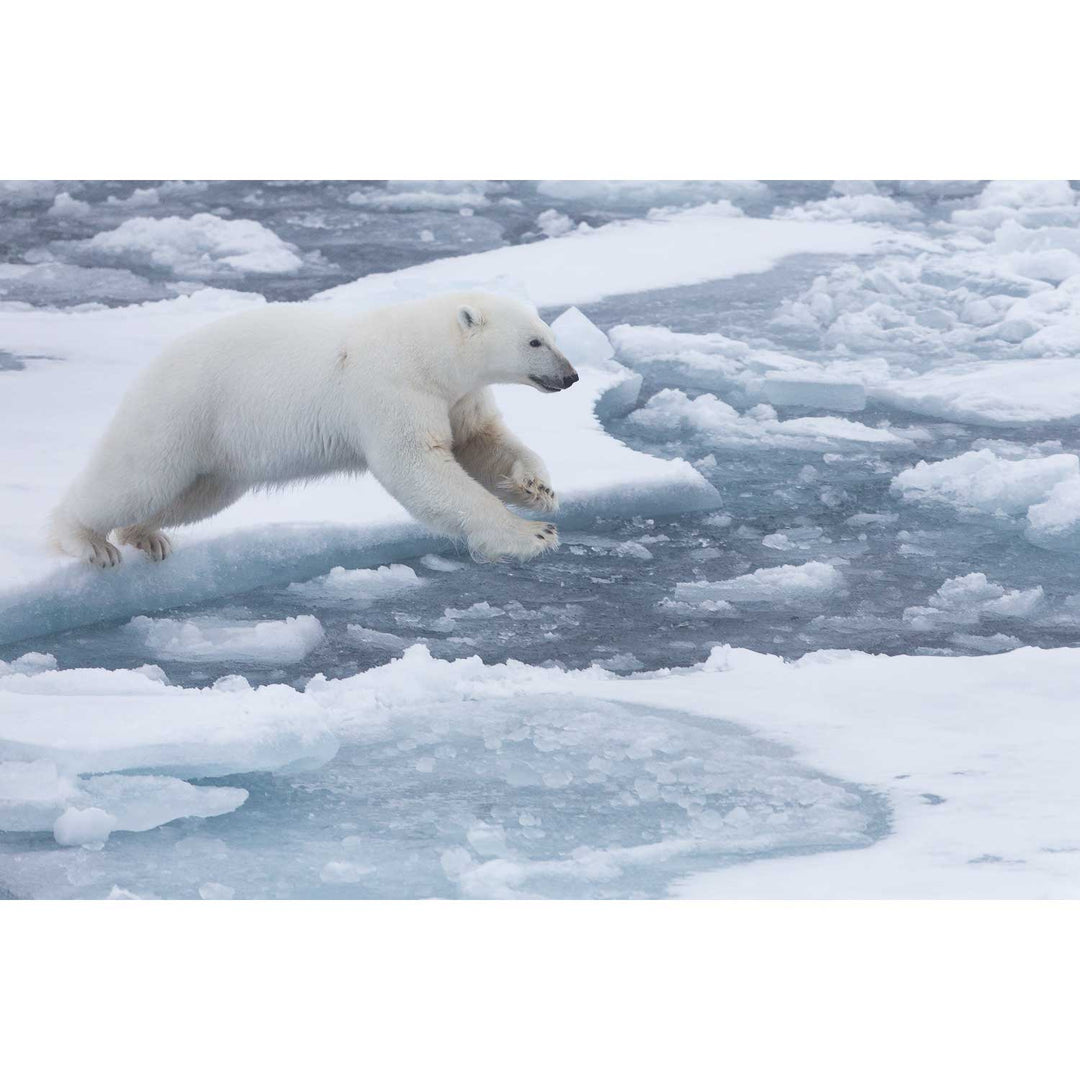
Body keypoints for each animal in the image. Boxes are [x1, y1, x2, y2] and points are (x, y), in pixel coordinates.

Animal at [50, 291, 578, 570]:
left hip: (218, 452)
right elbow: (419, 466)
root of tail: (151, 367)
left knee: (195, 494)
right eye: (535, 342)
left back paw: (145, 535)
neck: (424, 352)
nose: (571, 376)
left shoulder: (457, 397)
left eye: (552, 335)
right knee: (137, 477)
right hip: (182, 411)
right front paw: (532, 534)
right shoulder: (391, 389)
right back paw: (88, 541)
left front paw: (538, 489)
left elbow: (480, 441)